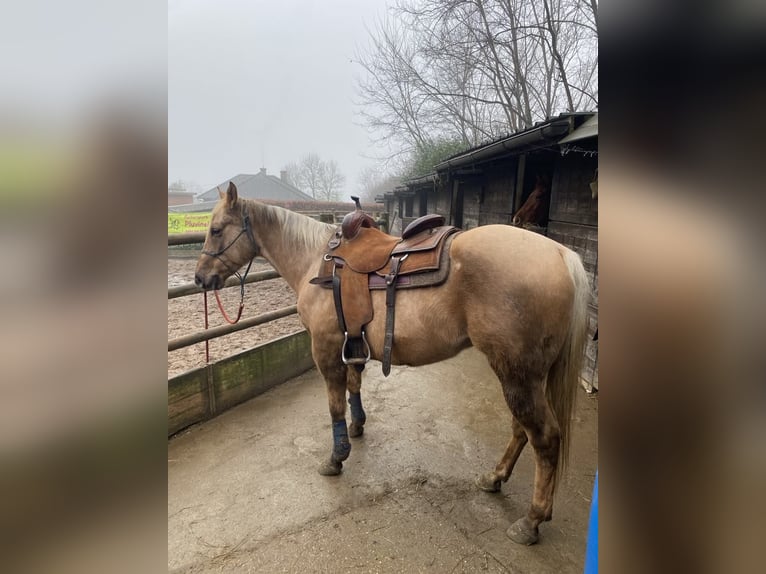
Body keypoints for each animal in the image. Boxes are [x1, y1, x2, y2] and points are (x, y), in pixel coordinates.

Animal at [195, 182, 592, 548]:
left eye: (216, 229)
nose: (200, 278)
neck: (316, 261)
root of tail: (561, 254)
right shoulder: (351, 343)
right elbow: (354, 386)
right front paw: (357, 427)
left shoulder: (325, 349)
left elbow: (334, 404)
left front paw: (336, 457)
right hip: (525, 376)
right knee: (521, 430)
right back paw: (494, 478)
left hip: (518, 376)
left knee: (544, 437)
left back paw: (531, 520)